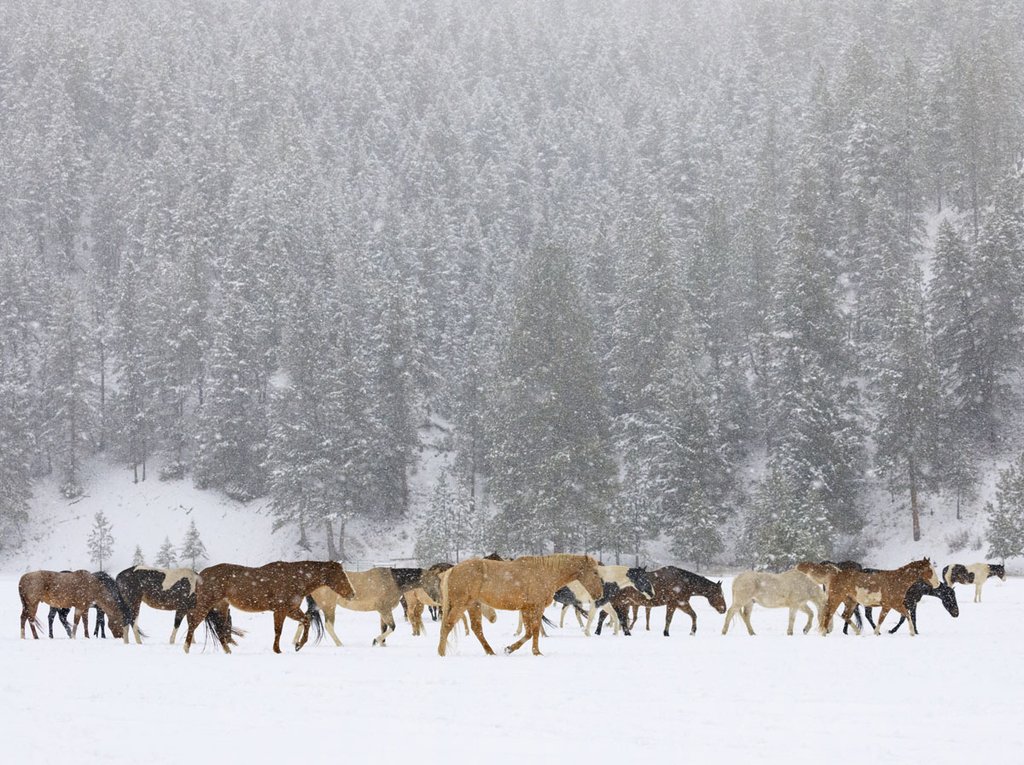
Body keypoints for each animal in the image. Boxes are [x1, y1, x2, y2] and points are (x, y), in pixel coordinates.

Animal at [183, 560, 353, 654]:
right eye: (341, 575)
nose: (352, 593)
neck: (295, 578)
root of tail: (201, 574)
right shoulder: (280, 610)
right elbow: (278, 630)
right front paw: (277, 650)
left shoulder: (291, 610)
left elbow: (306, 621)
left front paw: (298, 645)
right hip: (205, 604)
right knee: (193, 622)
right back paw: (186, 648)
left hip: (221, 606)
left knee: (219, 628)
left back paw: (228, 651)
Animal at [299, 565, 447, 647]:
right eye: (436, 581)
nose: (440, 599)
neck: (393, 581)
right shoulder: (384, 609)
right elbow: (392, 627)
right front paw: (376, 641)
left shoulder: (383, 612)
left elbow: (384, 628)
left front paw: (382, 644)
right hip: (328, 607)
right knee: (329, 626)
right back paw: (340, 644)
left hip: (317, 606)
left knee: (304, 620)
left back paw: (296, 644)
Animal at [438, 554, 603, 656]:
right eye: (595, 572)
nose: (599, 595)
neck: (546, 573)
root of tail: (452, 569)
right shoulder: (536, 608)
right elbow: (534, 631)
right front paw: (534, 652)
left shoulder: (526, 609)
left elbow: (530, 632)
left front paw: (511, 649)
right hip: (461, 605)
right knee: (448, 625)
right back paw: (441, 652)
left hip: (473, 605)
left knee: (476, 629)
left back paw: (490, 652)